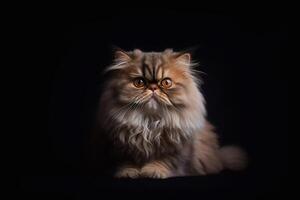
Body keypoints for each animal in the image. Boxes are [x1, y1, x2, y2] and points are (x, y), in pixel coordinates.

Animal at [95, 48, 247, 178]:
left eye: (166, 82)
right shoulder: (119, 148)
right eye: (139, 82)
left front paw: (153, 171)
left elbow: (165, 161)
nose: (153, 88)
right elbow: (126, 162)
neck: (149, 121)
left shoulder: (177, 149)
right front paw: (128, 172)